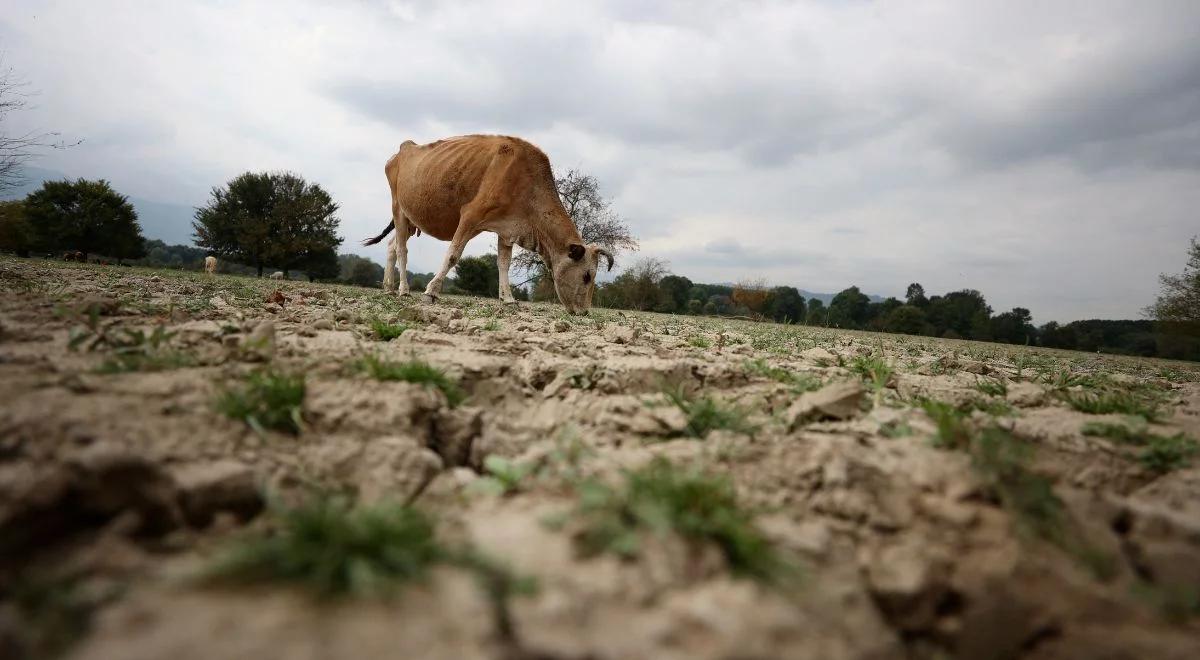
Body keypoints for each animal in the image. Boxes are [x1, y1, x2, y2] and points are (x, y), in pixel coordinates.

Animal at [360, 134, 614, 316]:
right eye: (587, 276)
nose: (584, 312)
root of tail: (406, 147)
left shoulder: (508, 228)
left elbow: (504, 264)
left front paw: (508, 299)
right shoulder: (471, 215)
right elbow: (453, 255)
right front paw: (431, 291)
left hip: (411, 221)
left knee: (392, 246)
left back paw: (388, 287)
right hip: (399, 209)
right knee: (402, 250)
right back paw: (403, 290)